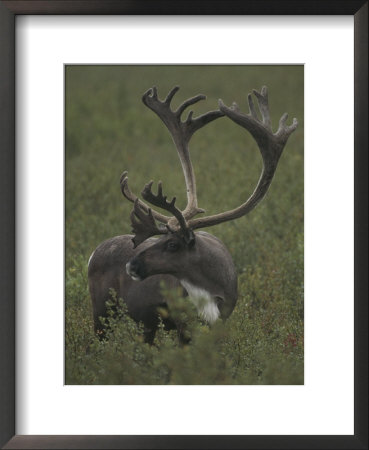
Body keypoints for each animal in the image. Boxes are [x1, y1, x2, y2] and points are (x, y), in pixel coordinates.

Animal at [87, 85, 296, 344]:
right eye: (161, 237)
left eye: (172, 244)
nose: (131, 265)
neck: (208, 289)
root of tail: (94, 252)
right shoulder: (182, 322)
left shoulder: (222, 319)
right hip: (102, 311)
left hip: (146, 323)